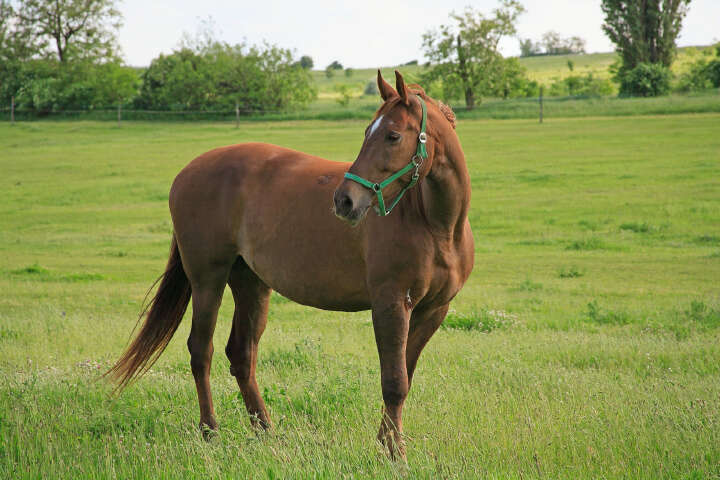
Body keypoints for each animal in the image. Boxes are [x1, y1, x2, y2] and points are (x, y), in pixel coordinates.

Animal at [108, 70, 474, 460]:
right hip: (207, 280)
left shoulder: (433, 310)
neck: (434, 224)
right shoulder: (391, 304)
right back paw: (210, 432)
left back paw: (265, 432)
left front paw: (387, 444)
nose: (345, 201)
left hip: (251, 283)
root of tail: (187, 172)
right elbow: (394, 382)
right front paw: (394, 454)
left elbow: (406, 373)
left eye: (392, 135)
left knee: (241, 354)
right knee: (201, 351)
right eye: (367, 132)